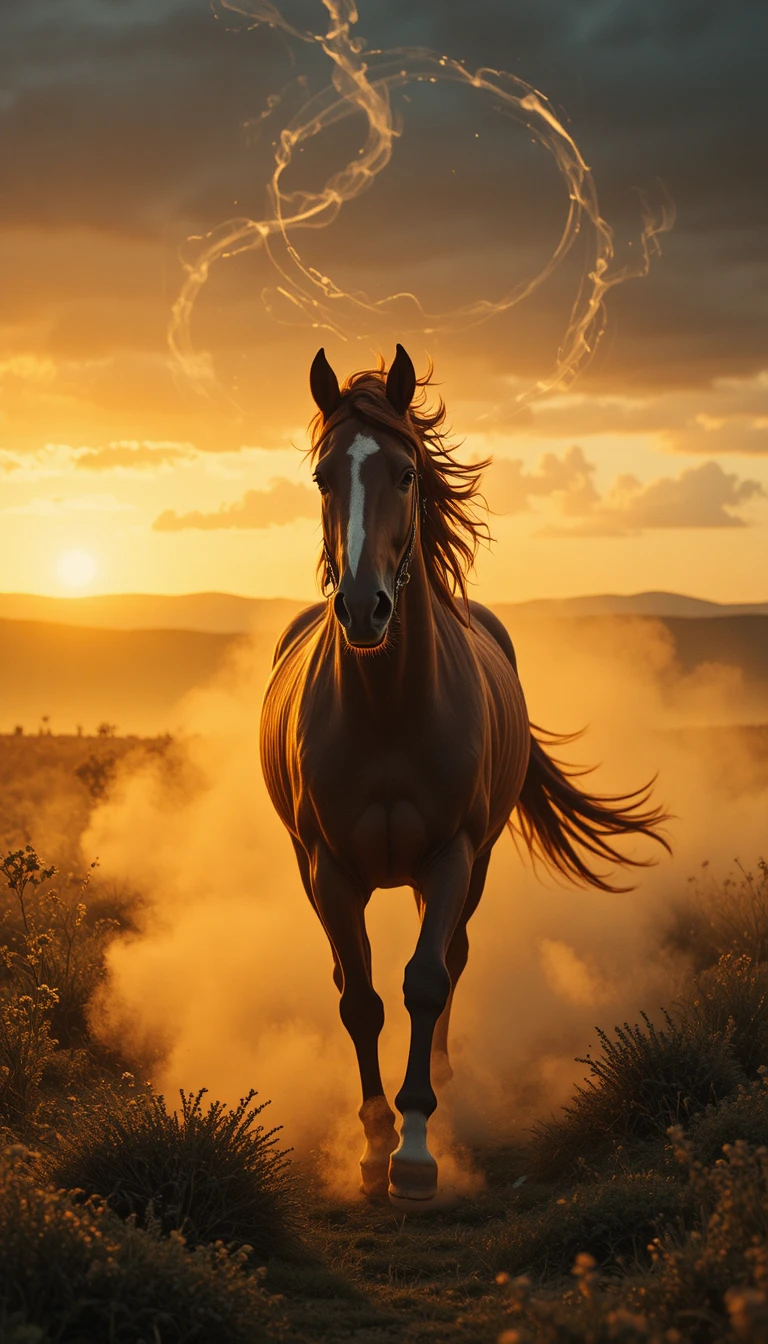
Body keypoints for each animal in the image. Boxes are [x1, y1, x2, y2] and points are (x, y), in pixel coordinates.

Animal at [259, 344, 670, 1202]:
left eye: (406, 473)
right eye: (322, 477)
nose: (364, 610)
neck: (386, 707)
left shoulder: (452, 855)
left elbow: (425, 979)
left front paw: (416, 1147)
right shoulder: (328, 870)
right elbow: (361, 999)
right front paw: (372, 1144)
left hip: (470, 866)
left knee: (451, 958)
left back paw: (447, 1080)